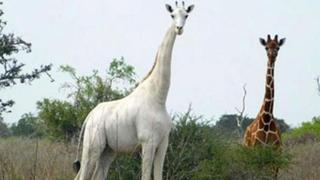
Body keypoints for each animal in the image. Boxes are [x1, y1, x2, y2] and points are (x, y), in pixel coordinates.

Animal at [74, 1, 195, 180]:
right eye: (172, 15)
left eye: (186, 15)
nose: (179, 28)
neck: (159, 98)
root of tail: (89, 117)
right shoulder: (148, 142)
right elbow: (145, 176)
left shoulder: (163, 143)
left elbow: (158, 175)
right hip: (93, 146)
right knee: (82, 175)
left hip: (108, 150)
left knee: (97, 175)